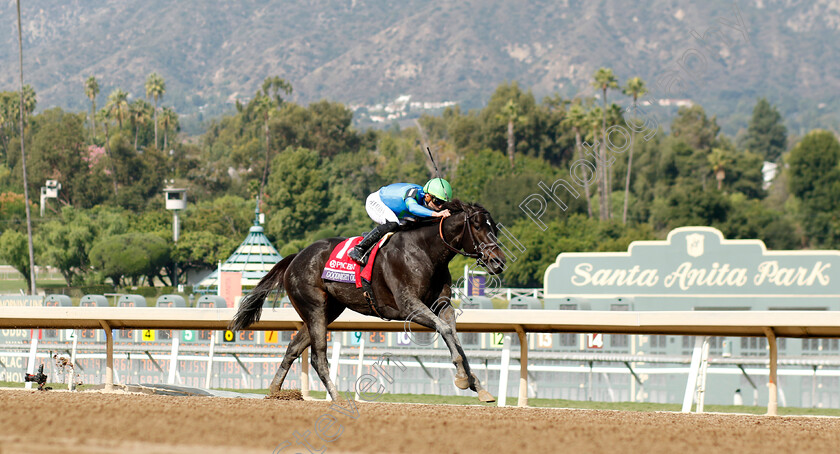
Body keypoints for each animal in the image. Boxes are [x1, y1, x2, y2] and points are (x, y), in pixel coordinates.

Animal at [230, 200, 506, 402]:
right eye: (478, 226)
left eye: (495, 227)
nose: (499, 262)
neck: (425, 250)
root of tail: (296, 256)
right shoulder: (409, 306)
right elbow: (446, 330)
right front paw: (462, 378)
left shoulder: (443, 305)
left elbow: (454, 336)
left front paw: (477, 385)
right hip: (315, 308)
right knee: (318, 357)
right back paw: (338, 398)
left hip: (326, 311)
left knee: (293, 349)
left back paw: (274, 392)